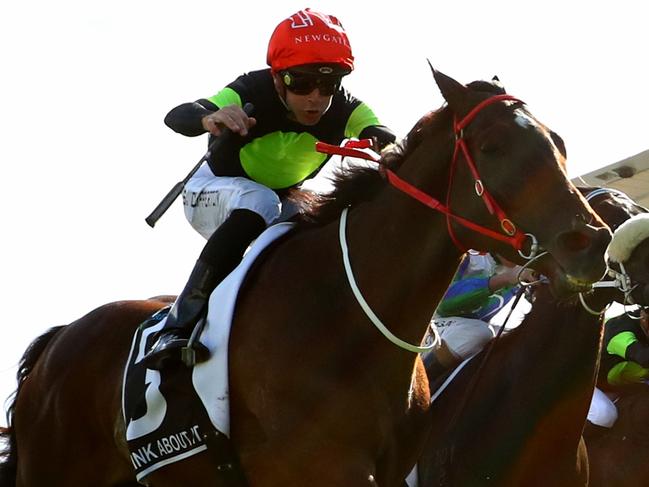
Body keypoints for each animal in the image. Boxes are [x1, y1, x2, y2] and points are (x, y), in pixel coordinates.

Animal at [0, 69, 612, 487]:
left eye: (557, 142)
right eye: (492, 146)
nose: (591, 243)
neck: (344, 317)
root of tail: (58, 339)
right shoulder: (322, 469)